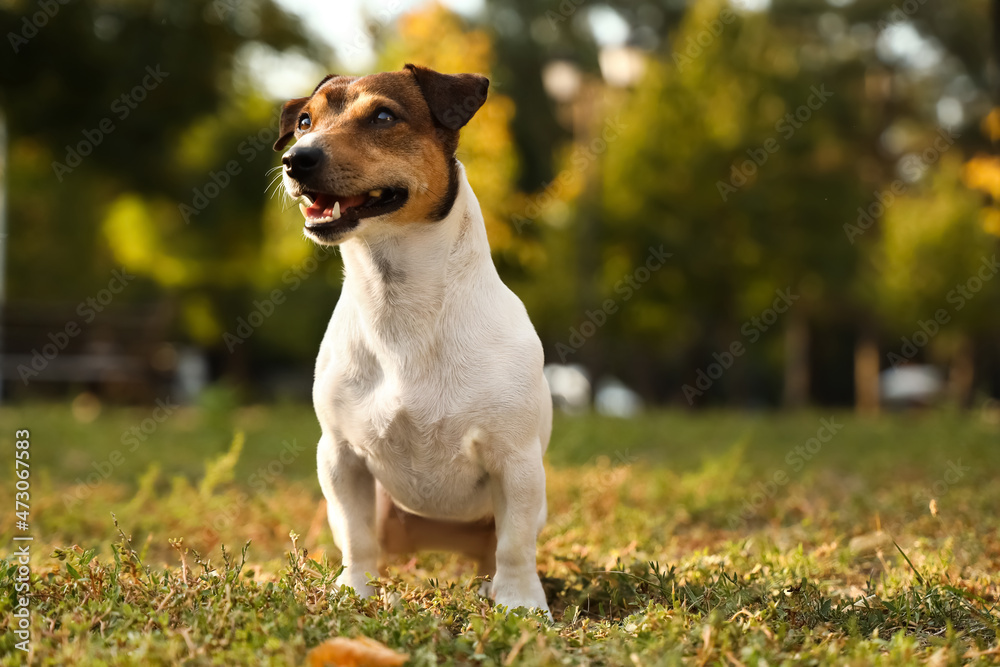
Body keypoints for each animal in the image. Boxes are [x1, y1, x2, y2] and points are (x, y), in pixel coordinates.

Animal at [272, 64, 556, 616]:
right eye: (304, 121)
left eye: (383, 116)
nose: (296, 160)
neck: (399, 305)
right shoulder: (339, 456)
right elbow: (356, 538)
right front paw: (355, 591)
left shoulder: (516, 460)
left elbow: (515, 546)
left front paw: (520, 604)